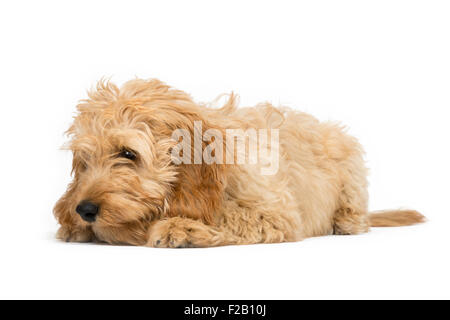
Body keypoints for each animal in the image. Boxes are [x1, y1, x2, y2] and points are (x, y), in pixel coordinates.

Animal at [54, 78, 424, 248]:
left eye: (127, 154)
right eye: (84, 162)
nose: (84, 209)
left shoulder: (277, 213)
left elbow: (227, 215)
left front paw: (180, 227)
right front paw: (73, 224)